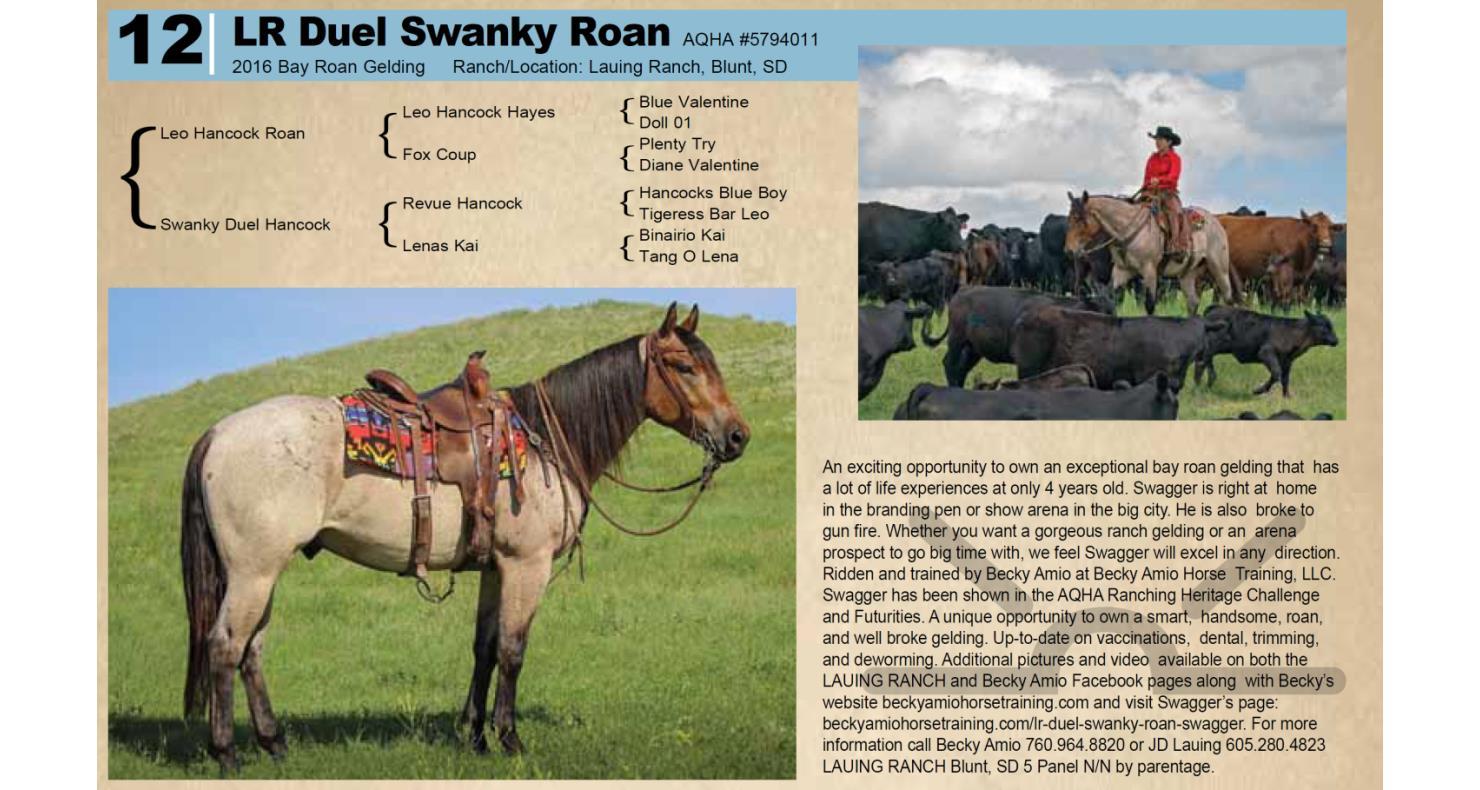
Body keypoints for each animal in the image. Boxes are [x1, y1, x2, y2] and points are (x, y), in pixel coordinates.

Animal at [179, 303, 750, 771]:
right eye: (684, 367)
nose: (737, 437)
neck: (547, 439)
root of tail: (218, 433)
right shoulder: (527, 565)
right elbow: (514, 650)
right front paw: (510, 739)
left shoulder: (496, 568)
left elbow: (485, 647)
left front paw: (475, 738)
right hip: (253, 572)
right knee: (225, 646)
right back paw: (226, 753)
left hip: (259, 573)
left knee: (252, 651)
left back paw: (274, 744)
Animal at [1062, 190, 1235, 315]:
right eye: (1069, 219)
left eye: (1079, 219)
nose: (1069, 251)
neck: (1130, 229)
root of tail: (1216, 222)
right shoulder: (1122, 271)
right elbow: (1113, 299)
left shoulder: (1149, 271)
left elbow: (1150, 304)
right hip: (1187, 274)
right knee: (1193, 302)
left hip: (1219, 269)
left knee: (1228, 297)